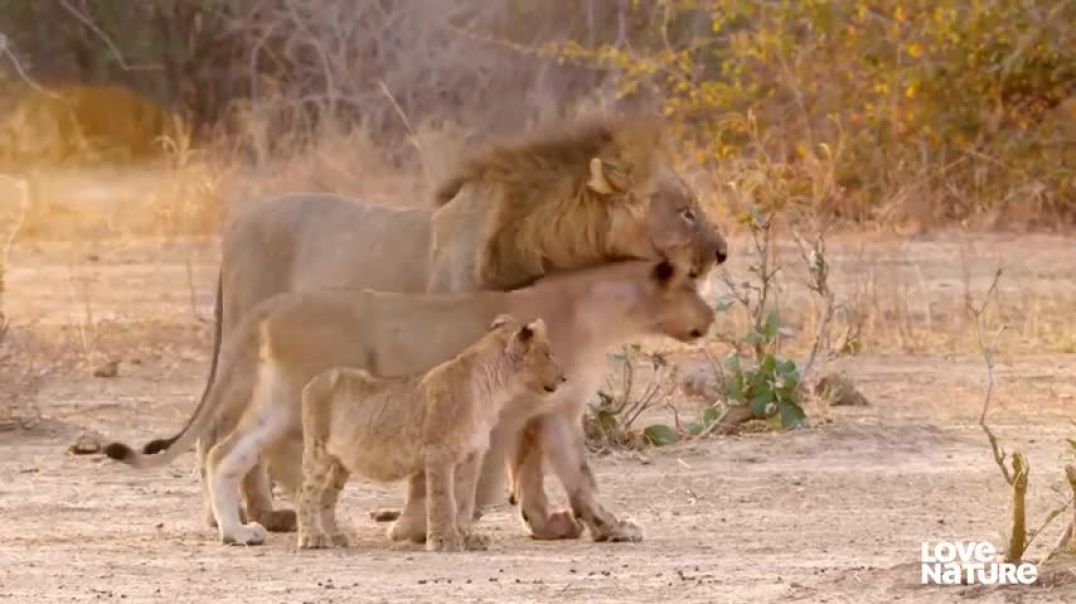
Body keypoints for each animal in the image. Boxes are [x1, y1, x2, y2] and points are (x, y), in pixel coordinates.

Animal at [294, 316, 563, 551]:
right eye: (548, 353)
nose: (564, 377)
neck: (492, 390)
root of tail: (314, 380)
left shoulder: (472, 456)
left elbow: (465, 500)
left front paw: (468, 537)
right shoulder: (438, 452)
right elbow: (442, 499)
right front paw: (443, 541)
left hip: (341, 462)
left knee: (326, 496)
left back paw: (334, 536)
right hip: (318, 450)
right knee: (306, 492)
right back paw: (312, 538)